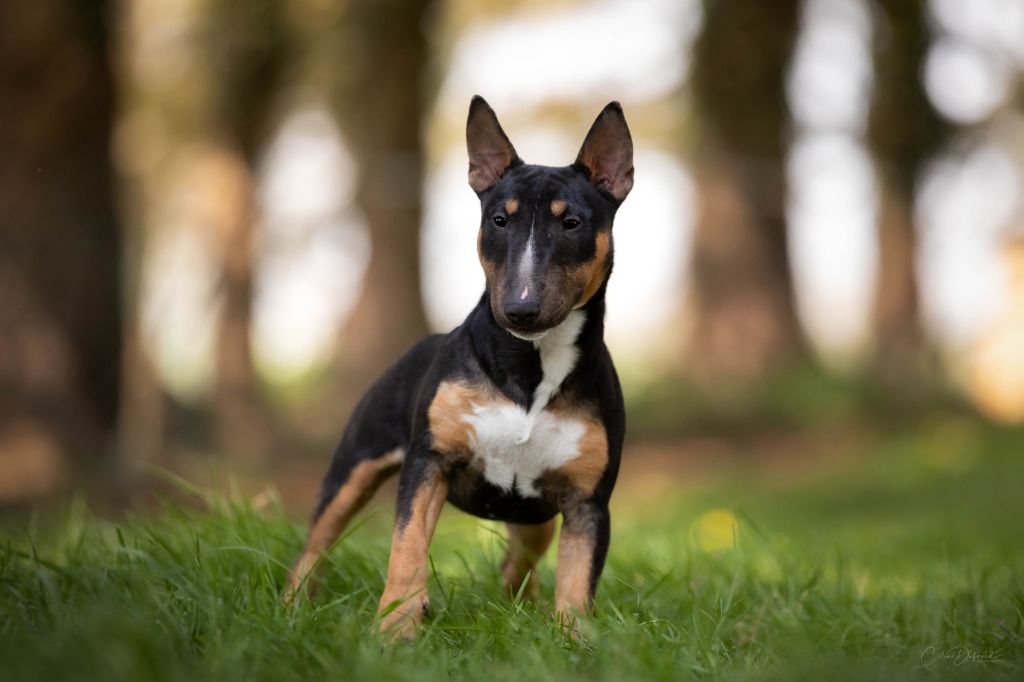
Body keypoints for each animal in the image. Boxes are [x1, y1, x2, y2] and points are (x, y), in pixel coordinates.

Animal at [286, 95, 630, 638]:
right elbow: (406, 549)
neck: (529, 365)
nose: (520, 310)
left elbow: (578, 583)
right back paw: (291, 607)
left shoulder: (587, 500)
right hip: (355, 464)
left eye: (571, 222)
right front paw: (394, 631)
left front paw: (573, 640)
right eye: (499, 220)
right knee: (315, 543)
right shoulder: (429, 463)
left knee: (518, 561)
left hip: (535, 516)